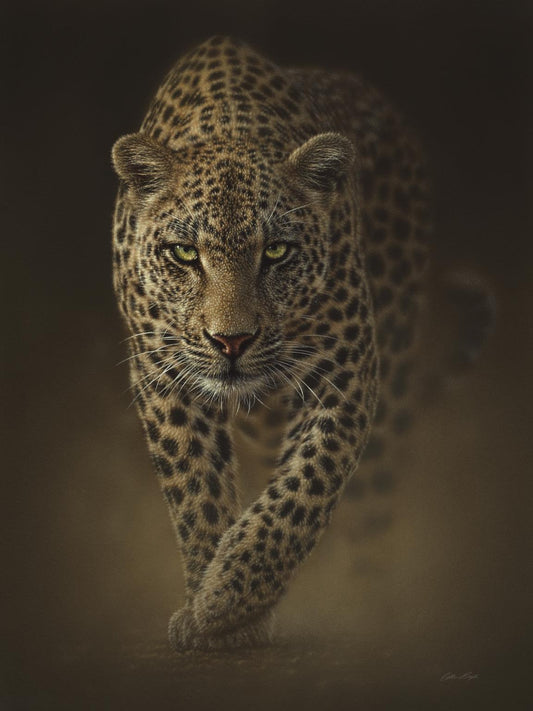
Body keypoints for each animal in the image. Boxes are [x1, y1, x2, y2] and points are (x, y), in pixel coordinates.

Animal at [111, 36, 488, 651]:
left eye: (278, 252)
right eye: (185, 254)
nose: (231, 341)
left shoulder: (347, 368)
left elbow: (304, 490)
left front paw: (229, 601)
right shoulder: (161, 372)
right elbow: (195, 488)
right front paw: (215, 608)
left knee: (375, 494)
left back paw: (373, 596)